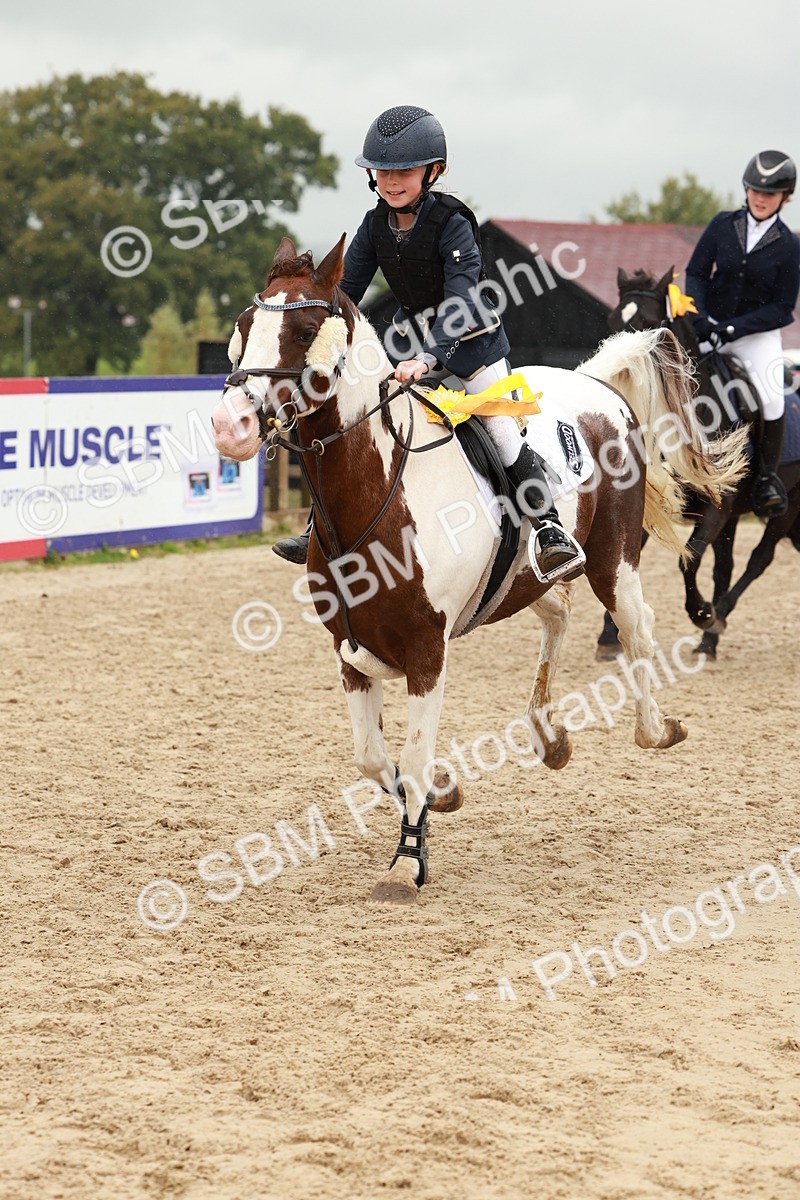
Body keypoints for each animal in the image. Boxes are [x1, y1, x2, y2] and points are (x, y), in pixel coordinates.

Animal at [211, 236, 747, 904]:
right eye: (243, 325)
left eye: (305, 330)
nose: (229, 425)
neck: (377, 490)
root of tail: (596, 386)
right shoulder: (348, 648)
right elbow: (373, 757)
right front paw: (442, 796)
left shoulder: (426, 651)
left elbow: (412, 758)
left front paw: (406, 863)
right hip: (525, 578)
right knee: (558, 612)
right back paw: (550, 736)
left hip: (613, 560)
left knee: (637, 628)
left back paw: (656, 728)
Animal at [605, 266, 800, 659]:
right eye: (611, 320)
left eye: (648, 324)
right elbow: (624, 563)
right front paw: (610, 636)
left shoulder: (717, 507)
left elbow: (690, 558)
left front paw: (700, 613)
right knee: (726, 567)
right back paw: (710, 640)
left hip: (786, 508)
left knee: (758, 560)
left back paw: (714, 621)